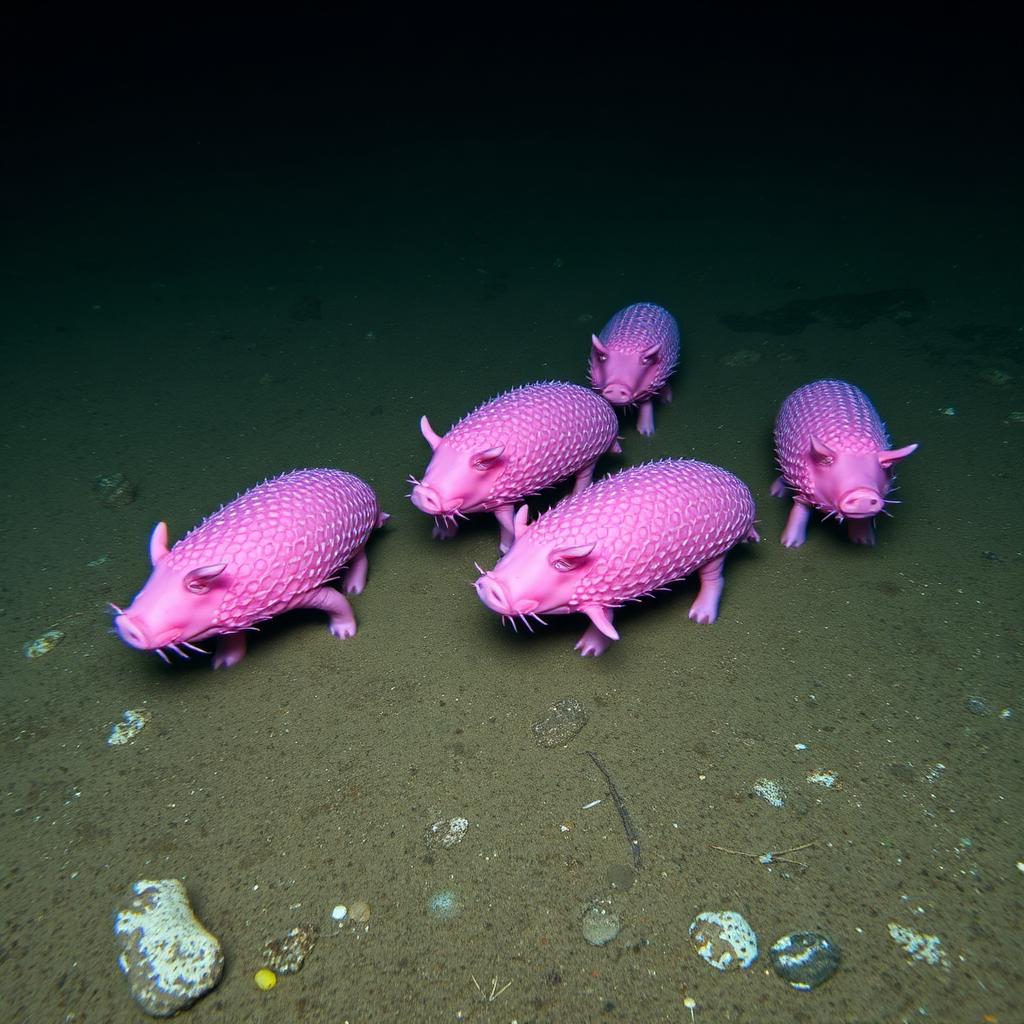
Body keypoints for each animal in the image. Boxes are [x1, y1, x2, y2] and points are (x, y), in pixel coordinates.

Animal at [112, 468, 388, 668]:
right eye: (141, 594)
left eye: (196, 588)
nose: (128, 627)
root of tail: (361, 484)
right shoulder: (233, 614)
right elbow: (230, 635)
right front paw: (225, 661)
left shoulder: (296, 591)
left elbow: (335, 601)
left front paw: (344, 631)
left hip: (358, 537)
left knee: (361, 556)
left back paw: (354, 586)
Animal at [409, 381, 621, 553]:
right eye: (431, 468)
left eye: (476, 468)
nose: (421, 494)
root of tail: (606, 407)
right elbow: (445, 515)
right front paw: (441, 535)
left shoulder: (504, 498)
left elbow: (507, 524)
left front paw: (504, 550)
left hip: (592, 456)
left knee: (585, 475)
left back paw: (571, 496)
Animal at [474, 458, 758, 656]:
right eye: (515, 549)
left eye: (561, 565)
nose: (489, 586)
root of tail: (741, 487)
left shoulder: (606, 593)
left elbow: (606, 622)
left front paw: (587, 650)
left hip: (720, 547)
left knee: (714, 578)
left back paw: (700, 616)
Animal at [589, 302, 680, 436]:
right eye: (602, 357)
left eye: (645, 362)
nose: (616, 387)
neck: (626, 346)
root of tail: (650, 303)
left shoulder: (650, 384)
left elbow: (646, 403)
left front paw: (646, 433)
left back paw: (667, 401)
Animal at [771, 379, 918, 547]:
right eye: (829, 465)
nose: (863, 495)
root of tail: (821, 381)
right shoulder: (803, 484)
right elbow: (800, 509)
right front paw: (790, 544)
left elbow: (862, 519)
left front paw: (864, 541)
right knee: (783, 475)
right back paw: (775, 493)